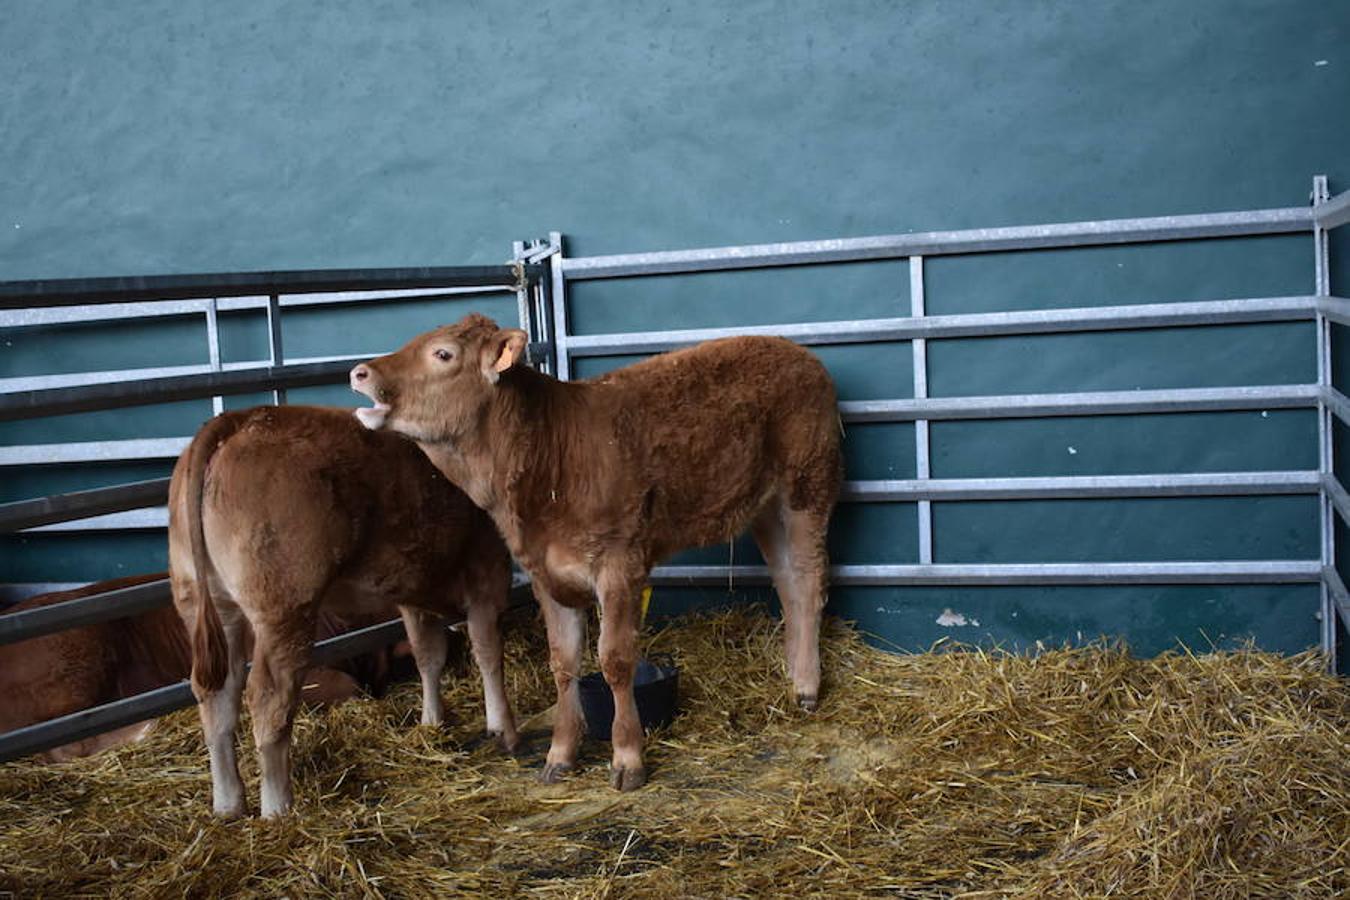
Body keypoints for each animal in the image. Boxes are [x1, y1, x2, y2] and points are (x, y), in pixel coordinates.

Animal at [171, 404, 518, 820]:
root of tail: (241, 419)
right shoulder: (489, 571)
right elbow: (489, 652)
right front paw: (503, 728)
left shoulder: (411, 591)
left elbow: (428, 656)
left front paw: (432, 721)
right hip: (285, 608)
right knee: (269, 697)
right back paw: (277, 807)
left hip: (201, 599)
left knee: (217, 695)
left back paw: (228, 803)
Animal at [351, 313, 831, 793]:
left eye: (443, 353)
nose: (360, 372)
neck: (551, 458)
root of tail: (796, 351)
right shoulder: (546, 573)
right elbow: (563, 663)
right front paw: (560, 753)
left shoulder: (619, 565)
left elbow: (614, 660)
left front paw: (627, 757)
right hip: (764, 508)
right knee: (786, 581)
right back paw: (793, 671)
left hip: (806, 488)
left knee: (808, 581)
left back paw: (808, 686)